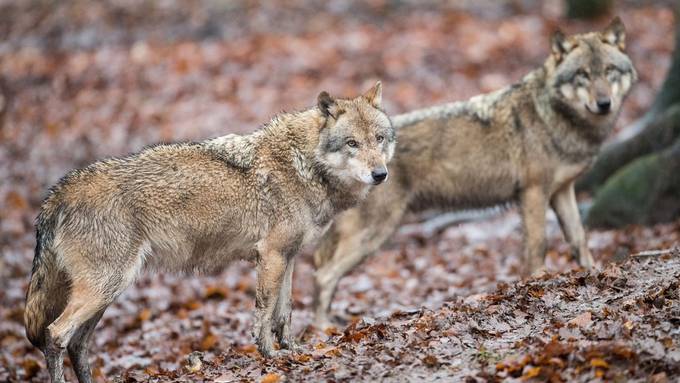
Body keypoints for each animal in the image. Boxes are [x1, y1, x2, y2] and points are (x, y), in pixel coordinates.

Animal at [23, 82, 394, 382]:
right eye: (352, 143)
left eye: (378, 139)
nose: (380, 174)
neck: (303, 163)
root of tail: (59, 192)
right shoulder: (270, 255)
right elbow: (263, 313)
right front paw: (270, 356)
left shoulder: (287, 257)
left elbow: (284, 312)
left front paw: (294, 350)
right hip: (106, 287)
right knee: (55, 334)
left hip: (108, 292)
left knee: (78, 344)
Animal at [314, 18, 636, 328]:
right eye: (583, 74)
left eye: (609, 71)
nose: (604, 104)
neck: (554, 118)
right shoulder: (533, 192)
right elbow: (538, 245)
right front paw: (538, 282)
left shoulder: (562, 191)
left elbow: (579, 238)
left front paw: (592, 272)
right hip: (375, 233)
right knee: (323, 276)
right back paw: (322, 327)